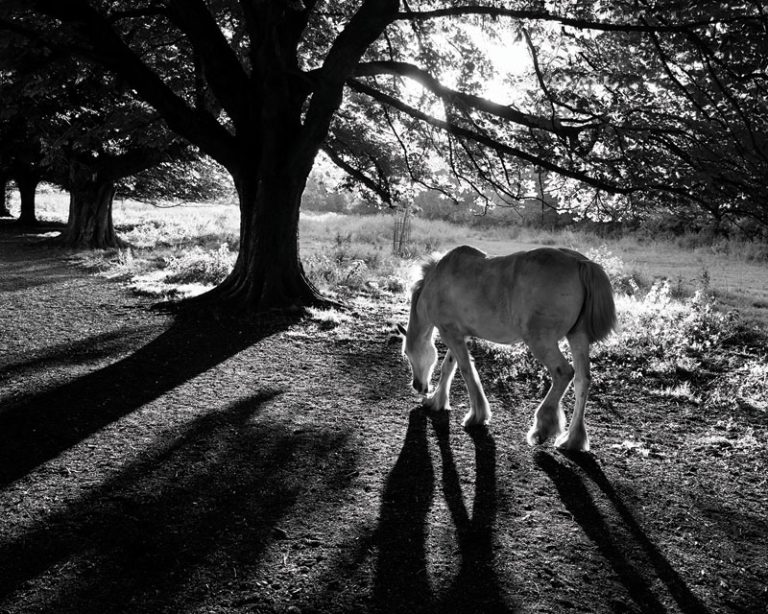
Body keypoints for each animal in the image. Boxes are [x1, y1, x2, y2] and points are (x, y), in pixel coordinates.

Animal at [400, 245, 616, 452]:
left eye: (407, 353)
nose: (417, 386)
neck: (436, 281)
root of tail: (579, 262)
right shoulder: (458, 334)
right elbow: (449, 367)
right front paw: (436, 401)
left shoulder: (450, 333)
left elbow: (466, 370)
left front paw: (477, 415)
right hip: (578, 336)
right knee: (582, 380)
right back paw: (572, 439)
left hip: (541, 341)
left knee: (563, 373)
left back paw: (542, 427)